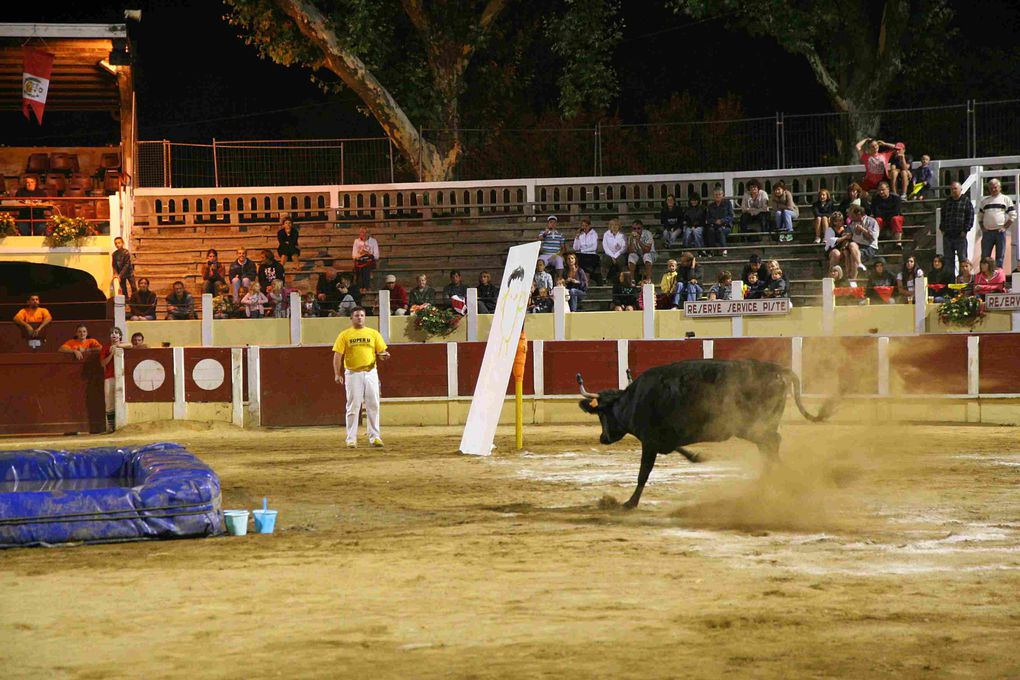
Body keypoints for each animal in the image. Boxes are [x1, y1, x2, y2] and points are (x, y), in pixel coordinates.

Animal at [579, 358, 832, 507]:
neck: (633, 400)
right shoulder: (664, 439)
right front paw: (697, 457)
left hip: (751, 427)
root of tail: (777, 370)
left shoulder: (649, 442)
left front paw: (629, 503)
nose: (603, 438)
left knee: (773, 443)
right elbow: (677, 449)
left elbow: (643, 473)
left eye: (601, 414)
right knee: (769, 448)